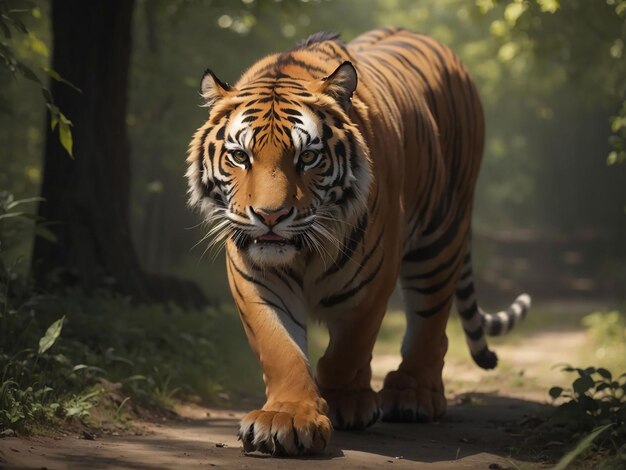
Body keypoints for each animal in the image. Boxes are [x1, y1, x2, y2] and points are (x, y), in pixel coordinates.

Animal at [184, 26, 528, 456]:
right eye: (240, 156)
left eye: (307, 157)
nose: (270, 217)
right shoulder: (256, 277)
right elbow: (280, 348)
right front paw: (287, 418)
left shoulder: (374, 277)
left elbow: (348, 348)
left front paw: (344, 401)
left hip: (440, 237)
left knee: (431, 321)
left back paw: (413, 395)